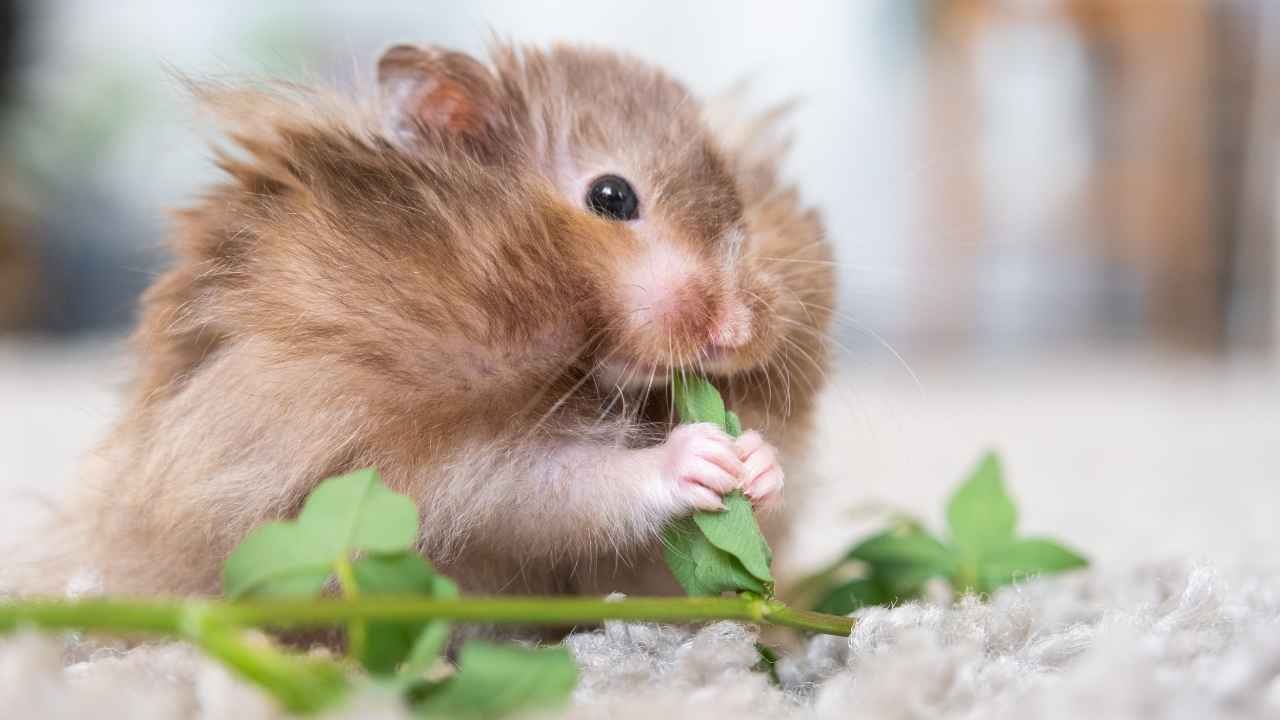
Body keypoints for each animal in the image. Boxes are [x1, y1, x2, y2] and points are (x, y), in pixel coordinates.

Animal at [16, 42, 834, 601]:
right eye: (611, 196)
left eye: (743, 203)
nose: (735, 330)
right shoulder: (401, 463)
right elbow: (559, 484)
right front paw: (702, 456)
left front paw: (755, 461)